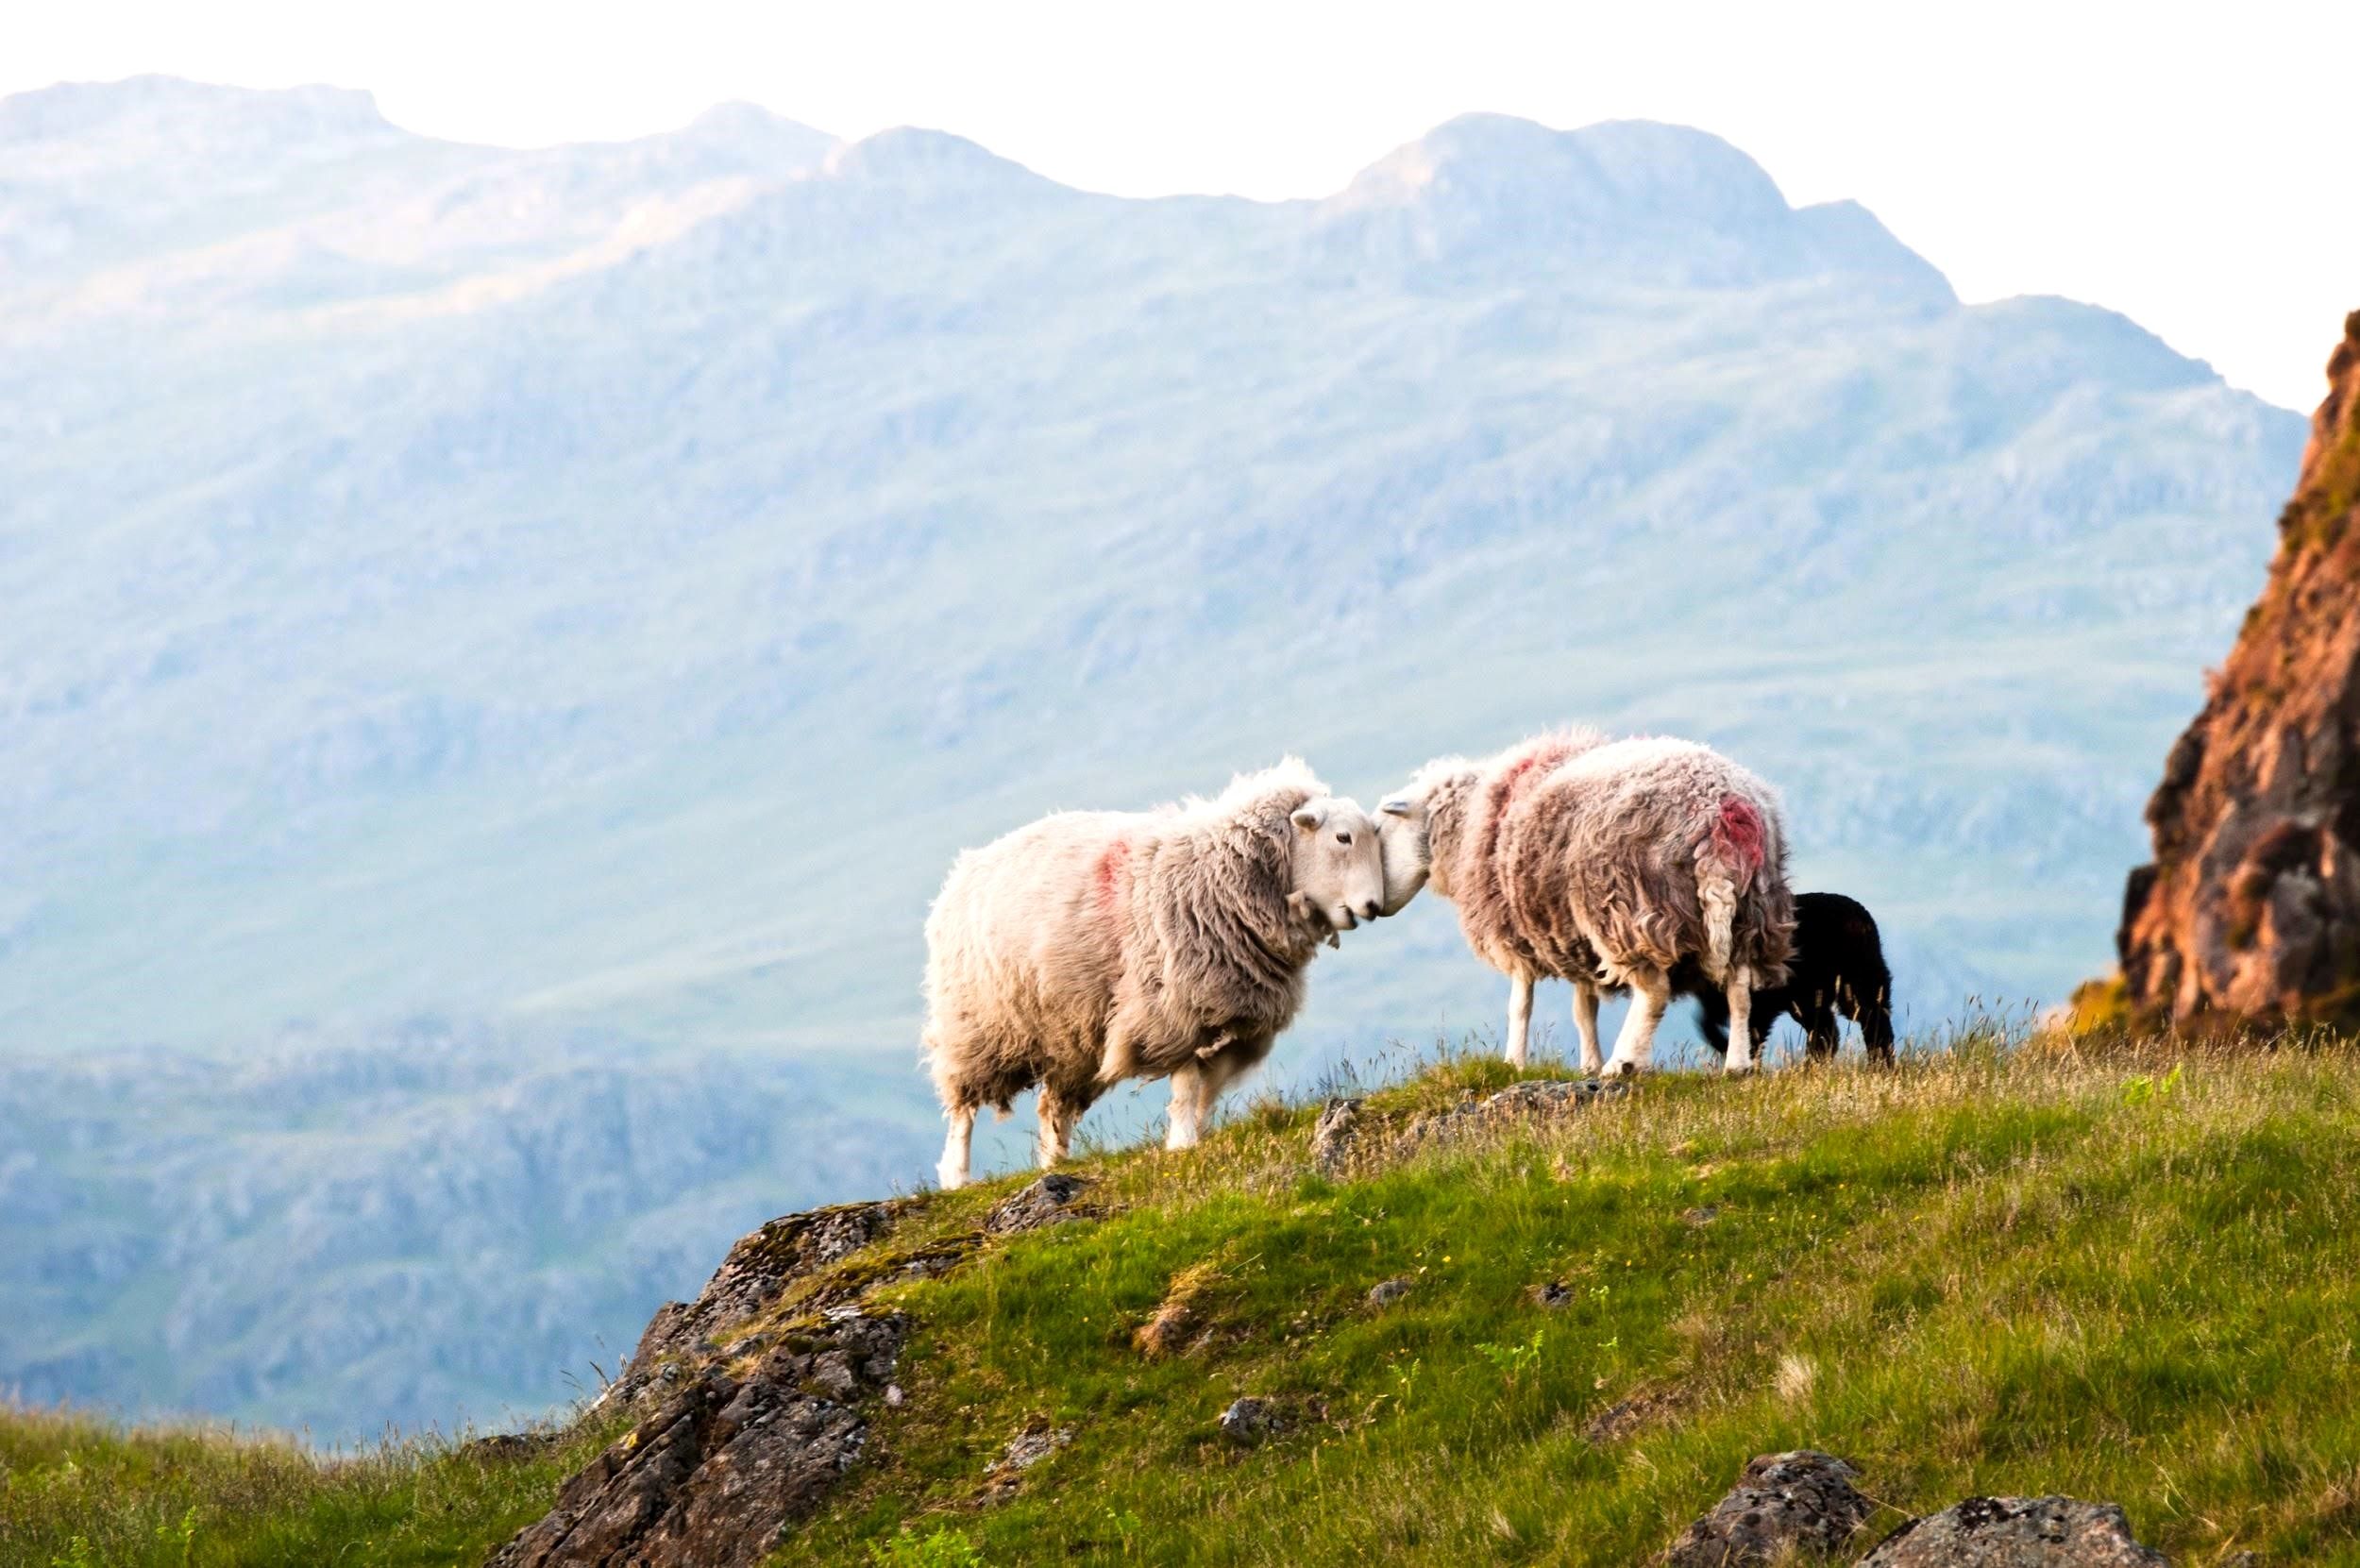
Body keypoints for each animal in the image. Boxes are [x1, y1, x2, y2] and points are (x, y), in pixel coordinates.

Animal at [922, 758, 1385, 1189]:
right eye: (1342, 837)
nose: (1373, 906)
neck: (1220, 873)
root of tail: (965, 869)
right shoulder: (1174, 1005)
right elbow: (1187, 1080)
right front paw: (1183, 1141)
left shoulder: (1231, 1014)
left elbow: (1210, 1083)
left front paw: (1198, 1128)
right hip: (978, 1022)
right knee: (963, 1109)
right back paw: (957, 1176)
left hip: (1066, 1031)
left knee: (1052, 1106)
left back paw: (1055, 1164)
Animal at [1377, 734, 1795, 1077]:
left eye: (1379, 831)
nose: (1374, 905)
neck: (1465, 826)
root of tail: (1719, 810)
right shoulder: (1573, 939)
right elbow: (1583, 1009)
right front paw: (1588, 1065)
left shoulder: (1514, 932)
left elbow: (1520, 1005)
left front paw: (1514, 1064)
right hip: (1751, 912)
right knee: (1739, 987)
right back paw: (1737, 1065)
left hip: (1625, 907)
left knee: (1654, 992)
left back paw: (1624, 1063)